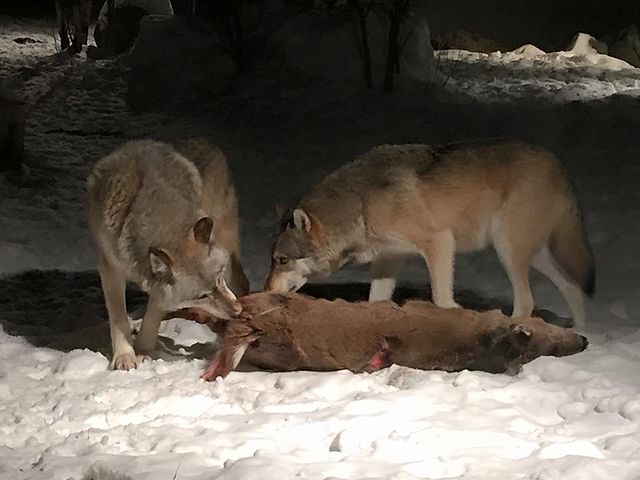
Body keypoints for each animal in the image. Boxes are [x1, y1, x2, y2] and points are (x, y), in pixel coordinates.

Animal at [87, 138, 249, 370]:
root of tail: (204, 140)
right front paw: (125, 355)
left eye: (217, 280)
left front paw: (143, 351)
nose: (237, 311)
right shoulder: (111, 267)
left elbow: (152, 317)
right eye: (202, 296)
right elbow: (118, 317)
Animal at [265, 140, 595, 331]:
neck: (361, 207)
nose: (264, 290)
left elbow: (440, 299)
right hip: (531, 254)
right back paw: (579, 333)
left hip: (508, 250)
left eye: (282, 260)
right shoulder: (388, 261)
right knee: (574, 288)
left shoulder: (440, 243)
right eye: (273, 260)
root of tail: (556, 163)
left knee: (527, 302)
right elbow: (375, 302)